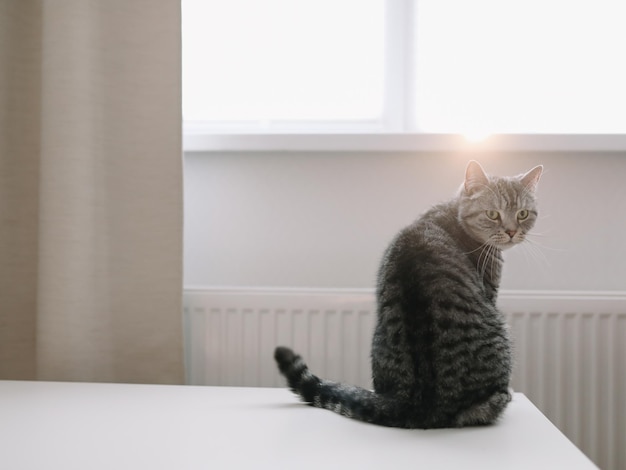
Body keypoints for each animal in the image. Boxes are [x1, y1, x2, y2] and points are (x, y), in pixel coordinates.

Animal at [272, 162, 540, 430]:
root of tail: (415, 404)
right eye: (493, 214)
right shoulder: (490, 291)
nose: (512, 231)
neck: (453, 213)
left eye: (523, 214)